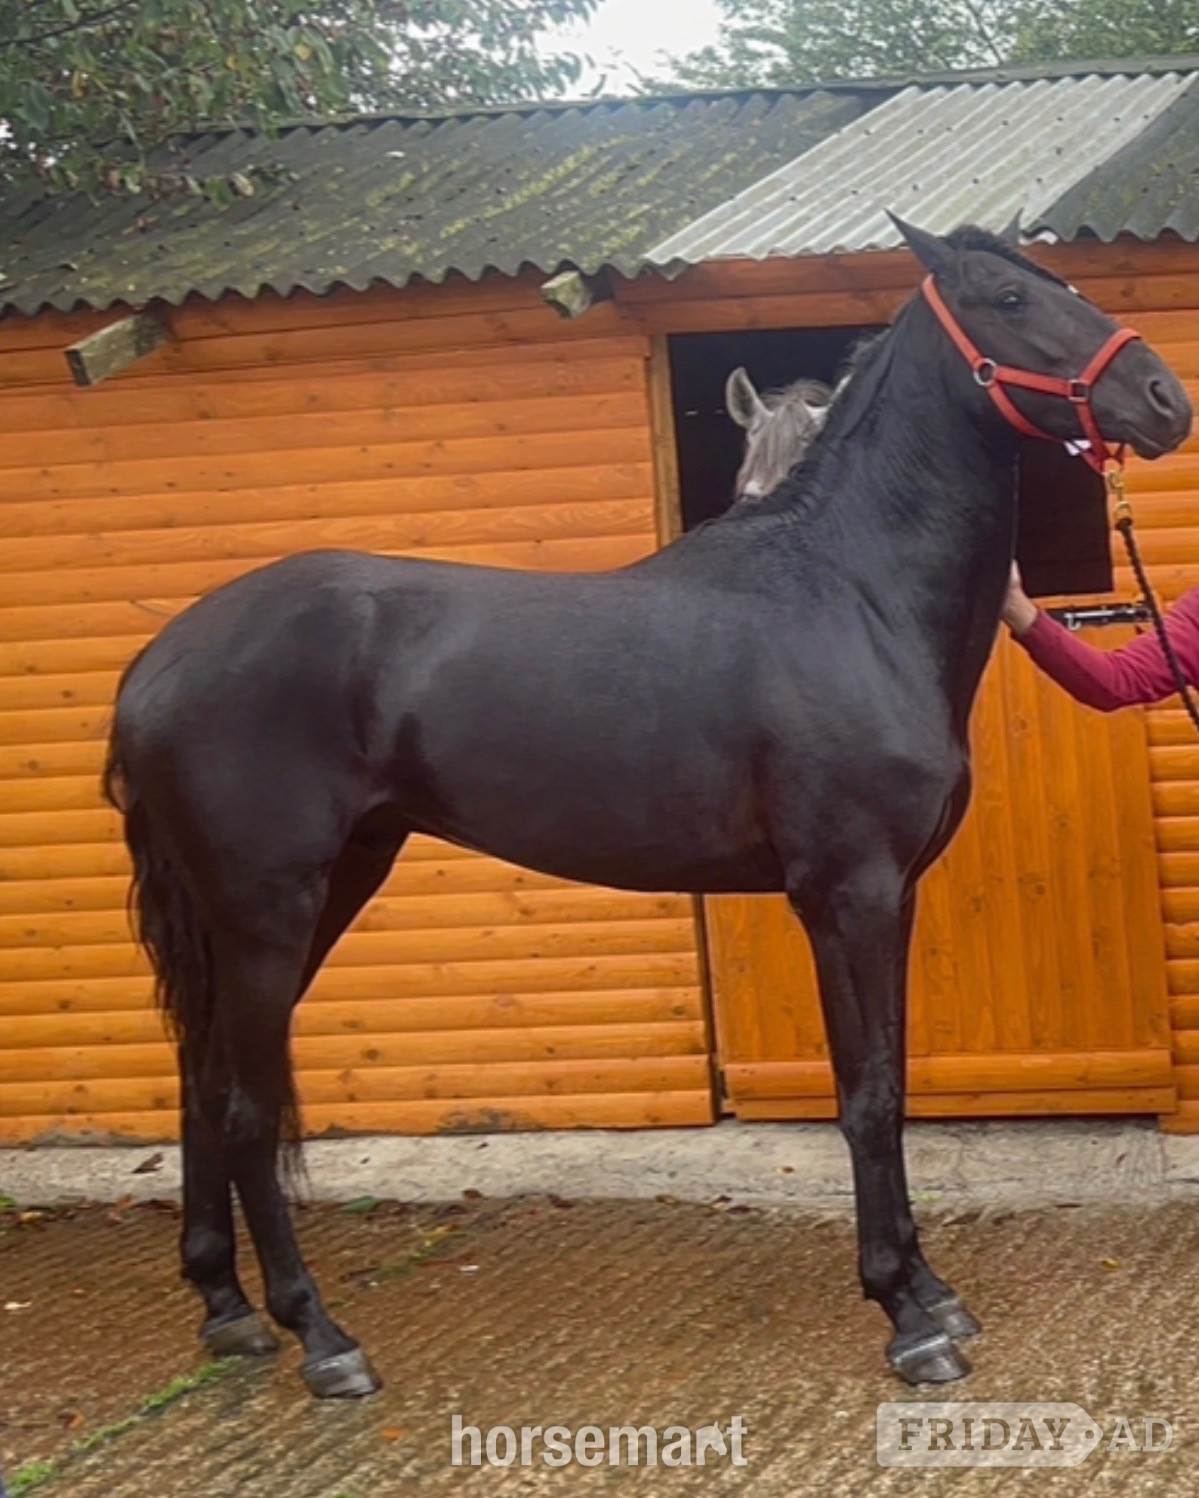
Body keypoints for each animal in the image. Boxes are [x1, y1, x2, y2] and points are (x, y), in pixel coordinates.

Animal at [103, 217, 1192, 1398]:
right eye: (1007, 298)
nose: (1162, 395)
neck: (849, 596)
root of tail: (160, 662)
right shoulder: (844, 894)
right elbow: (865, 1092)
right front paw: (907, 1316)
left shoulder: (891, 895)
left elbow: (893, 1078)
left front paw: (929, 1287)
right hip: (270, 906)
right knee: (246, 1107)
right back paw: (322, 1338)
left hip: (320, 885)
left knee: (201, 1076)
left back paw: (227, 1309)